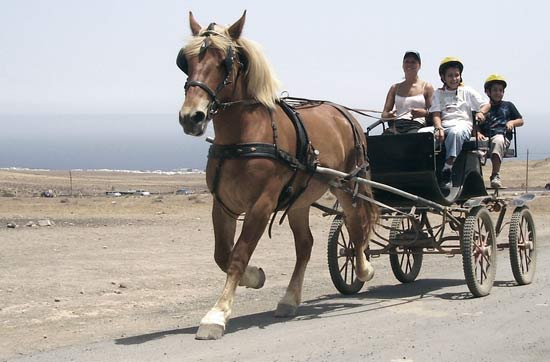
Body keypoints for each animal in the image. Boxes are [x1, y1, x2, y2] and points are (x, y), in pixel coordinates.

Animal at [177, 11, 380, 340]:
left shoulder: (261, 205)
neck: (245, 135)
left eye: (224, 62)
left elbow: (238, 255)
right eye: (186, 60)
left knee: (356, 225)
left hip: (347, 184)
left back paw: (363, 269)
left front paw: (217, 314)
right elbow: (222, 254)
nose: (191, 117)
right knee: (306, 245)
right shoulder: (223, 204)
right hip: (299, 200)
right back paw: (289, 299)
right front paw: (254, 277)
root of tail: (344, 113)